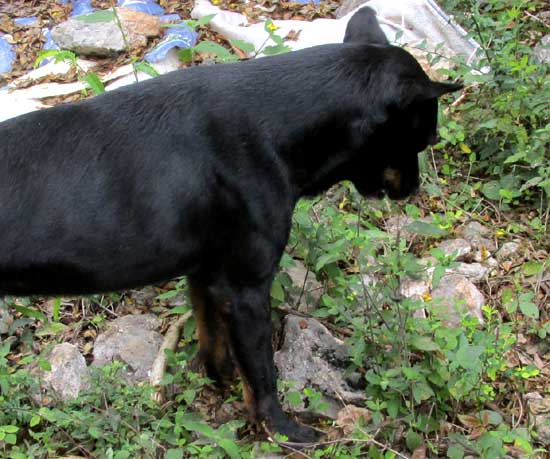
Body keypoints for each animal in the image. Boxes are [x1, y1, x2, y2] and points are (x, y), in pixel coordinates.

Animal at [0, 9, 464, 444]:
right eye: (426, 139)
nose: (413, 188)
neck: (280, 123)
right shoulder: (247, 290)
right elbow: (262, 375)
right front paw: (281, 430)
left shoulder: (206, 276)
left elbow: (214, 344)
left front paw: (211, 382)